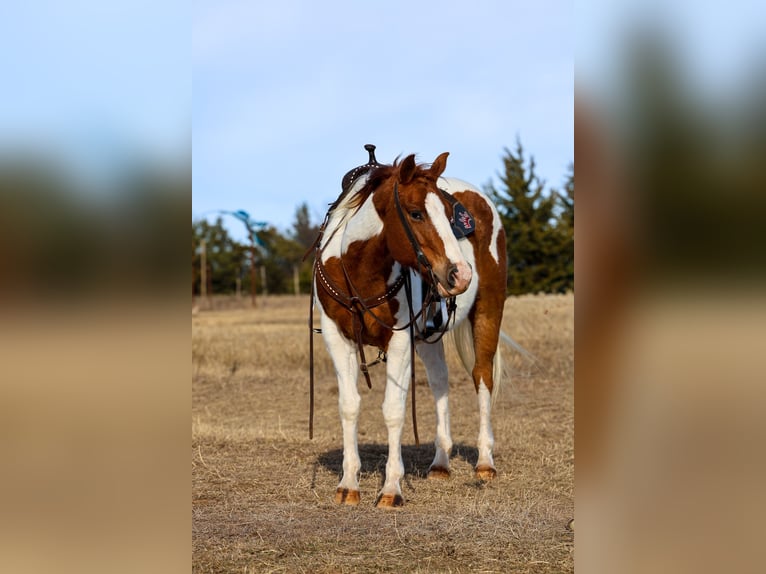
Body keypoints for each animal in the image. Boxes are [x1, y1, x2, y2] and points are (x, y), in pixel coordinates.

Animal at [311, 148, 507, 508]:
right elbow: (349, 406)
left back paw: (485, 462)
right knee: (440, 381)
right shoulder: (336, 337)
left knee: (482, 376)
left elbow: (393, 410)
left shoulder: (400, 339)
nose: (461, 274)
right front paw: (348, 484)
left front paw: (391, 488)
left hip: (489, 308)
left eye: (449, 213)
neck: (359, 269)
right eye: (415, 213)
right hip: (429, 334)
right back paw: (441, 462)